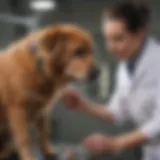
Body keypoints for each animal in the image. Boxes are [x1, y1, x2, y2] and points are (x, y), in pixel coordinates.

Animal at [0, 24, 99, 160]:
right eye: (79, 51)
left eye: (92, 52)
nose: (98, 73)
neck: (39, 66)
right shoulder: (17, 108)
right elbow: (25, 138)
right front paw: (28, 157)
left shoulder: (42, 109)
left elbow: (44, 133)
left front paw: (48, 152)